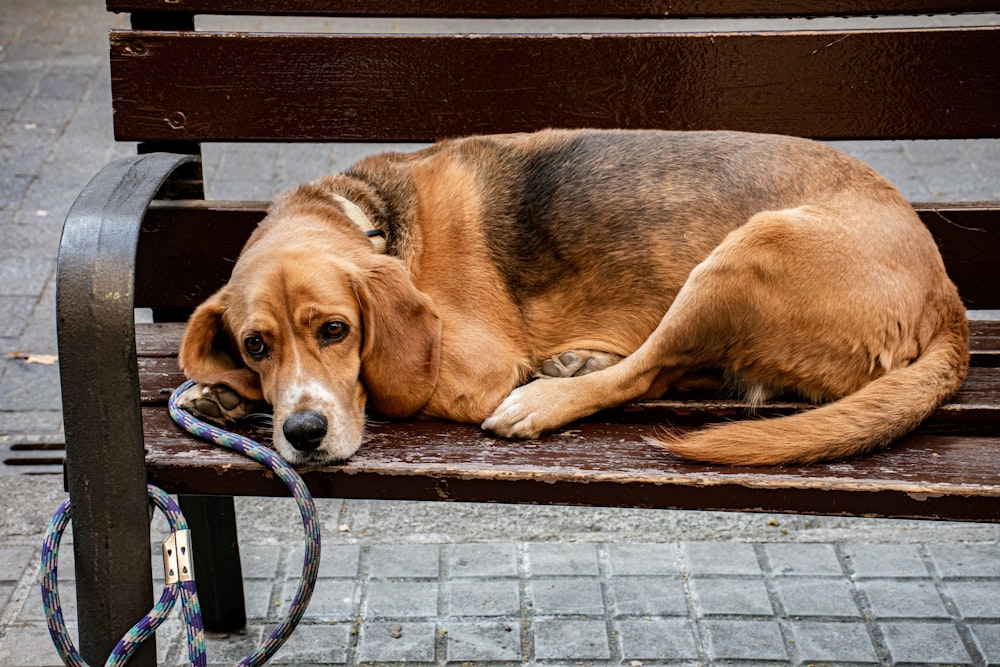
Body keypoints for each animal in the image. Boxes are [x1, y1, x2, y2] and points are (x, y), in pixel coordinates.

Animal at [178, 129, 968, 464]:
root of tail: (947, 294)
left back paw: (548, 395)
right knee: (684, 369)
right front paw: (220, 394)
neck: (366, 218)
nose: (304, 435)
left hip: (743, 255)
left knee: (648, 370)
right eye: (256, 345)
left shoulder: (470, 369)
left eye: (336, 330)